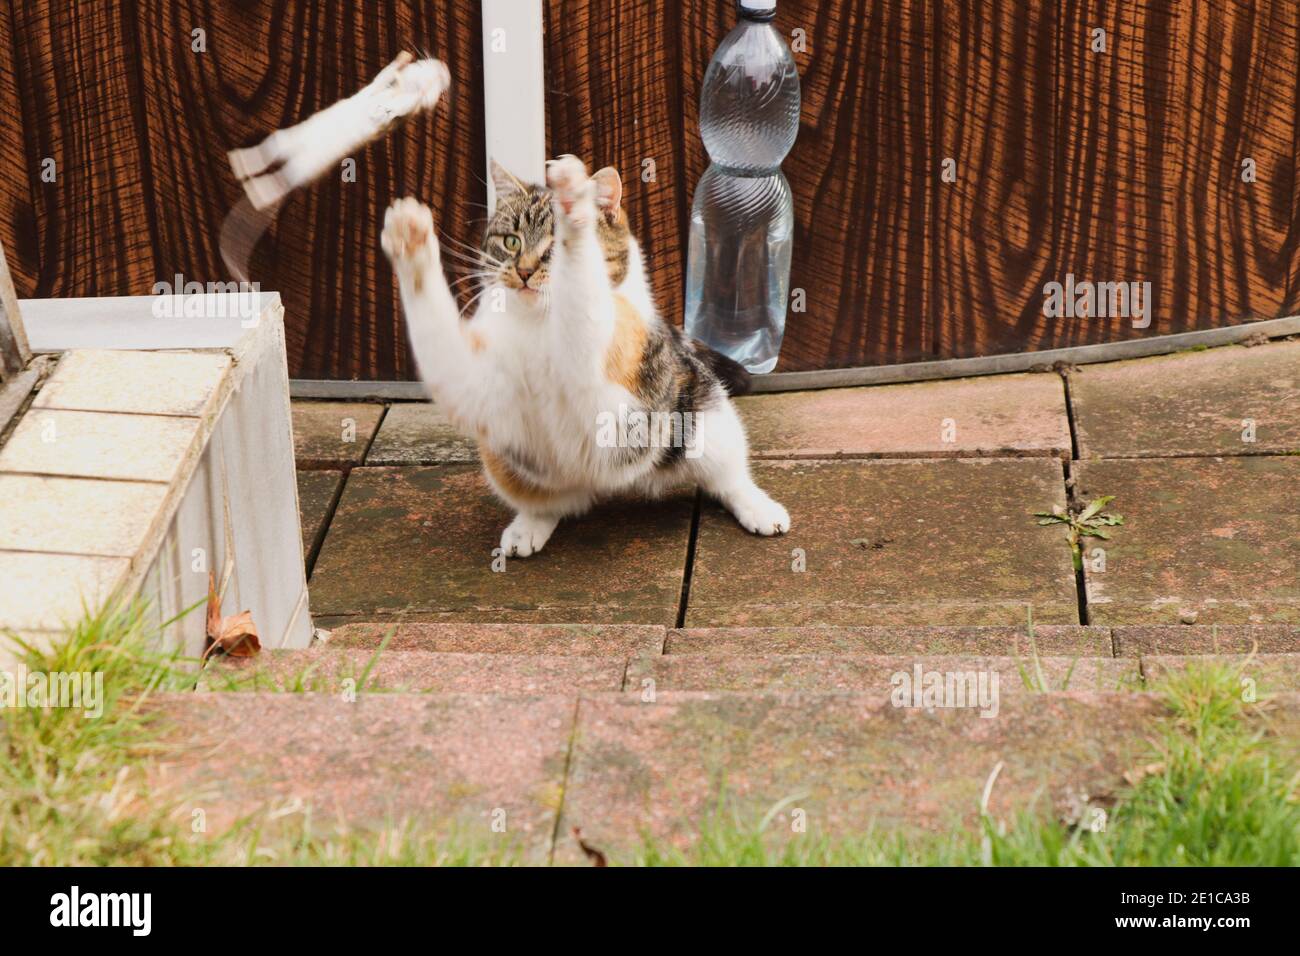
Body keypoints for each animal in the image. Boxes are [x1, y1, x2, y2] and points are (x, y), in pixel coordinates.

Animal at [379, 153, 785, 556]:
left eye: (553, 249)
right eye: (511, 242)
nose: (524, 272)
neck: (538, 324)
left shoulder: (609, 390)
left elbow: (583, 295)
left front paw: (574, 205)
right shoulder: (475, 388)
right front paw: (410, 240)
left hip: (707, 419)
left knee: (727, 476)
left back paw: (760, 509)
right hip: (505, 463)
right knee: (551, 504)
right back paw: (528, 527)